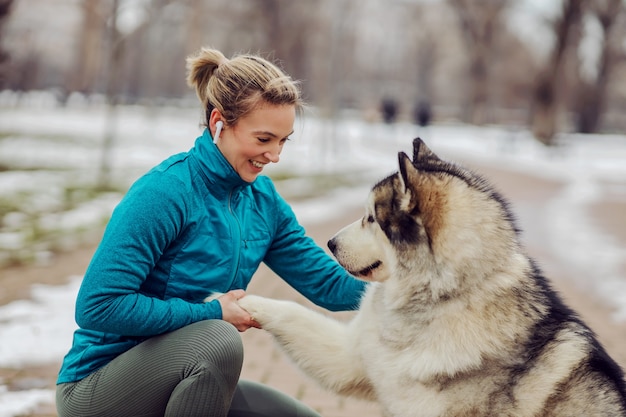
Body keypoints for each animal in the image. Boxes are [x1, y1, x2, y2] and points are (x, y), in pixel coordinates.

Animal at [238, 138, 624, 414]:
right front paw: (239, 303)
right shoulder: (352, 358)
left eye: (371, 218)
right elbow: (291, 312)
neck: (441, 296)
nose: (330, 243)